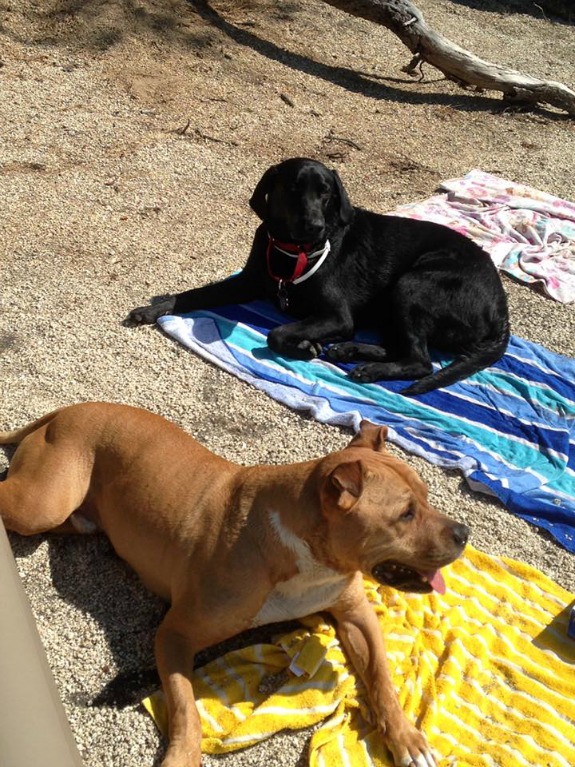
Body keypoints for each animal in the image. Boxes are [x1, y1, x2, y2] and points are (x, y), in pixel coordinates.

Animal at [0, 404, 470, 764]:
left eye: (427, 498)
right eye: (406, 514)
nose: (464, 533)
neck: (305, 551)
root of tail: (71, 410)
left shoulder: (355, 614)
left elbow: (382, 679)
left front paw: (407, 739)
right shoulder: (176, 634)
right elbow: (186, 708)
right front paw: (182, 757)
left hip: (71, 517)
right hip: (40, 503)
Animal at [129, 156, 508, 396]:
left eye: (326, 192)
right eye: (293, 188)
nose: (315, 225)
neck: (293, 250)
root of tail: (501, 308)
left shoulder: (337, 315)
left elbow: (277, 333)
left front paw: (304, 347)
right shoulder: (248, 282)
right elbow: (192, 295)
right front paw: (153, 309)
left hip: (412, 286)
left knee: (421, 361)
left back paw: (366, 366)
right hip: (395, 303)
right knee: (400, 347)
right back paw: (351, 350)